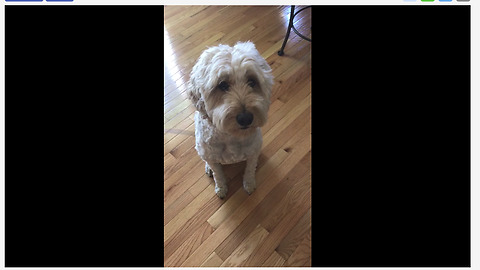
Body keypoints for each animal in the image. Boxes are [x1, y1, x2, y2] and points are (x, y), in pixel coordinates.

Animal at [188, 42, 274, 198]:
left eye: (252, 81)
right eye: (222, 85)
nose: (246, 118)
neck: (229, 136)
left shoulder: (253, 152)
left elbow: (249, 170)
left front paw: (249, 184)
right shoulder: (212, 157)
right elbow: (218, 174)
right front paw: (221, 188)